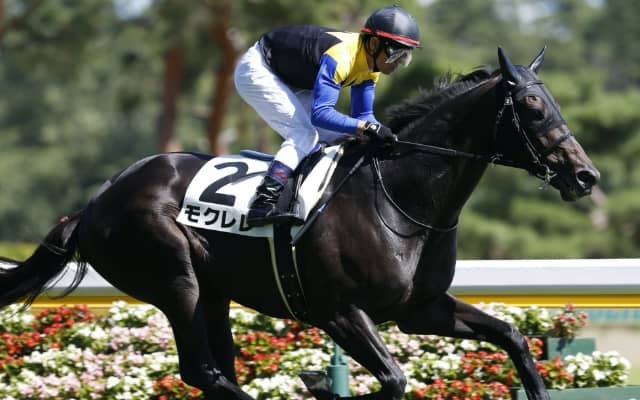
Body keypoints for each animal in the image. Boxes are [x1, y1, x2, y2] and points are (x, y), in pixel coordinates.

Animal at [0, 47, 599, 400]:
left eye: (555, 103)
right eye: (532, 107)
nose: (585, 175)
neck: (400, 201)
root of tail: (94, 204)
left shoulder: (418, 309)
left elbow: (513, 337)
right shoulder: (339, 311)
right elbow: (392, 379)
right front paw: (320, 385)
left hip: (212, 291)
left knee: (215, 371)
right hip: (174, 280)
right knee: (202, 372)